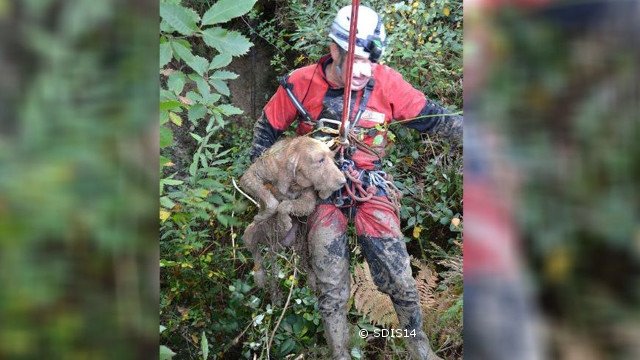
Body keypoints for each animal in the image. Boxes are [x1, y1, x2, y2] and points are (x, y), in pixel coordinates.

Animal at [240, 136, 348, 288]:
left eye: (333, 158)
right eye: (320, 160)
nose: (344, 181)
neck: (292, 180)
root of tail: (270, 242)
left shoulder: (308, 201)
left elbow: (284, 205)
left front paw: (283, 221)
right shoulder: (252, 174)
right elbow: (273, 202)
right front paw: (265, 215)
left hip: (296, 245)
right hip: (249, 234)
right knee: (256, 254)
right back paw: (260, 277)